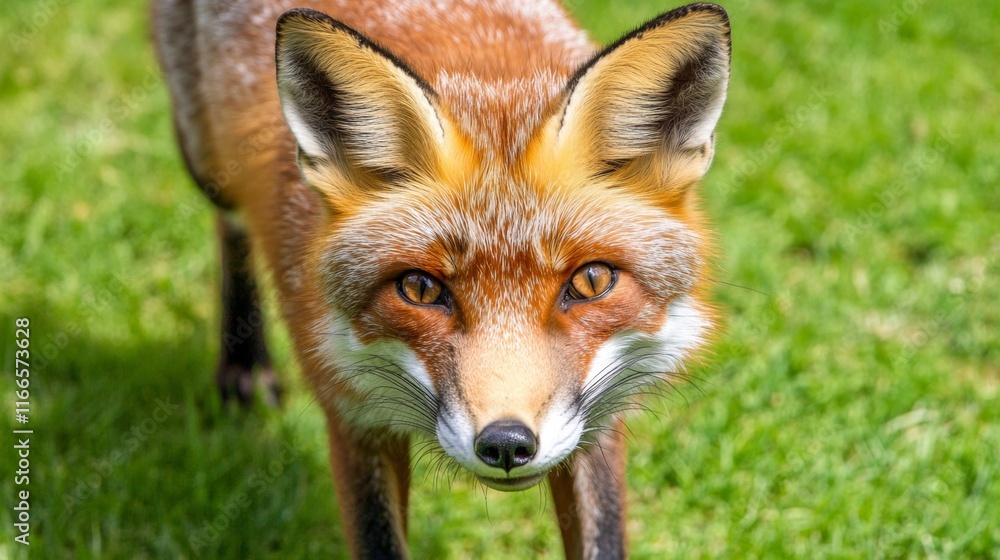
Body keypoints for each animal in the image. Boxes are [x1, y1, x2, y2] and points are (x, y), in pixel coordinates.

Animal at [152, 0, 730, 557]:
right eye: (421, 289)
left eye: (590, 282)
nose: (506, 444)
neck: (487, 75)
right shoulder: (353, 414)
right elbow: (380, 541)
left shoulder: (595, 418)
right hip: (205, 161)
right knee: (231, 225)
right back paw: (244, 365)